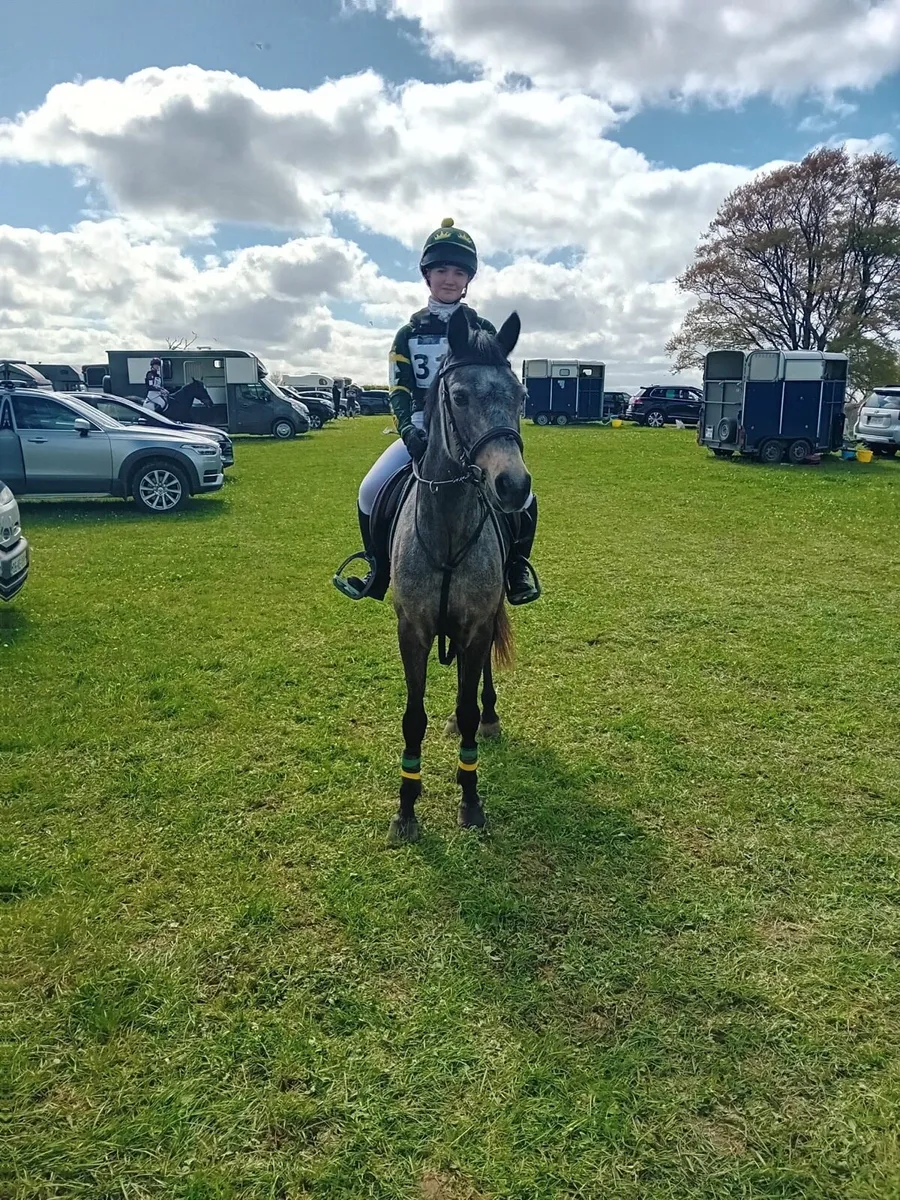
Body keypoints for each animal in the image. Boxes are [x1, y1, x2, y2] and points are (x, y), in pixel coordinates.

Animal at [388, 306, 529, 846]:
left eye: (520, 396)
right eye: (461, 396)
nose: (514, 485)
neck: (446, 525)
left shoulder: (474, 625)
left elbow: (466, 709)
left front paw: (470, 800)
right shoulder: (412, 629)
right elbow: (413, 717)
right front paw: (406, 808)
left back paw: (490, 716)